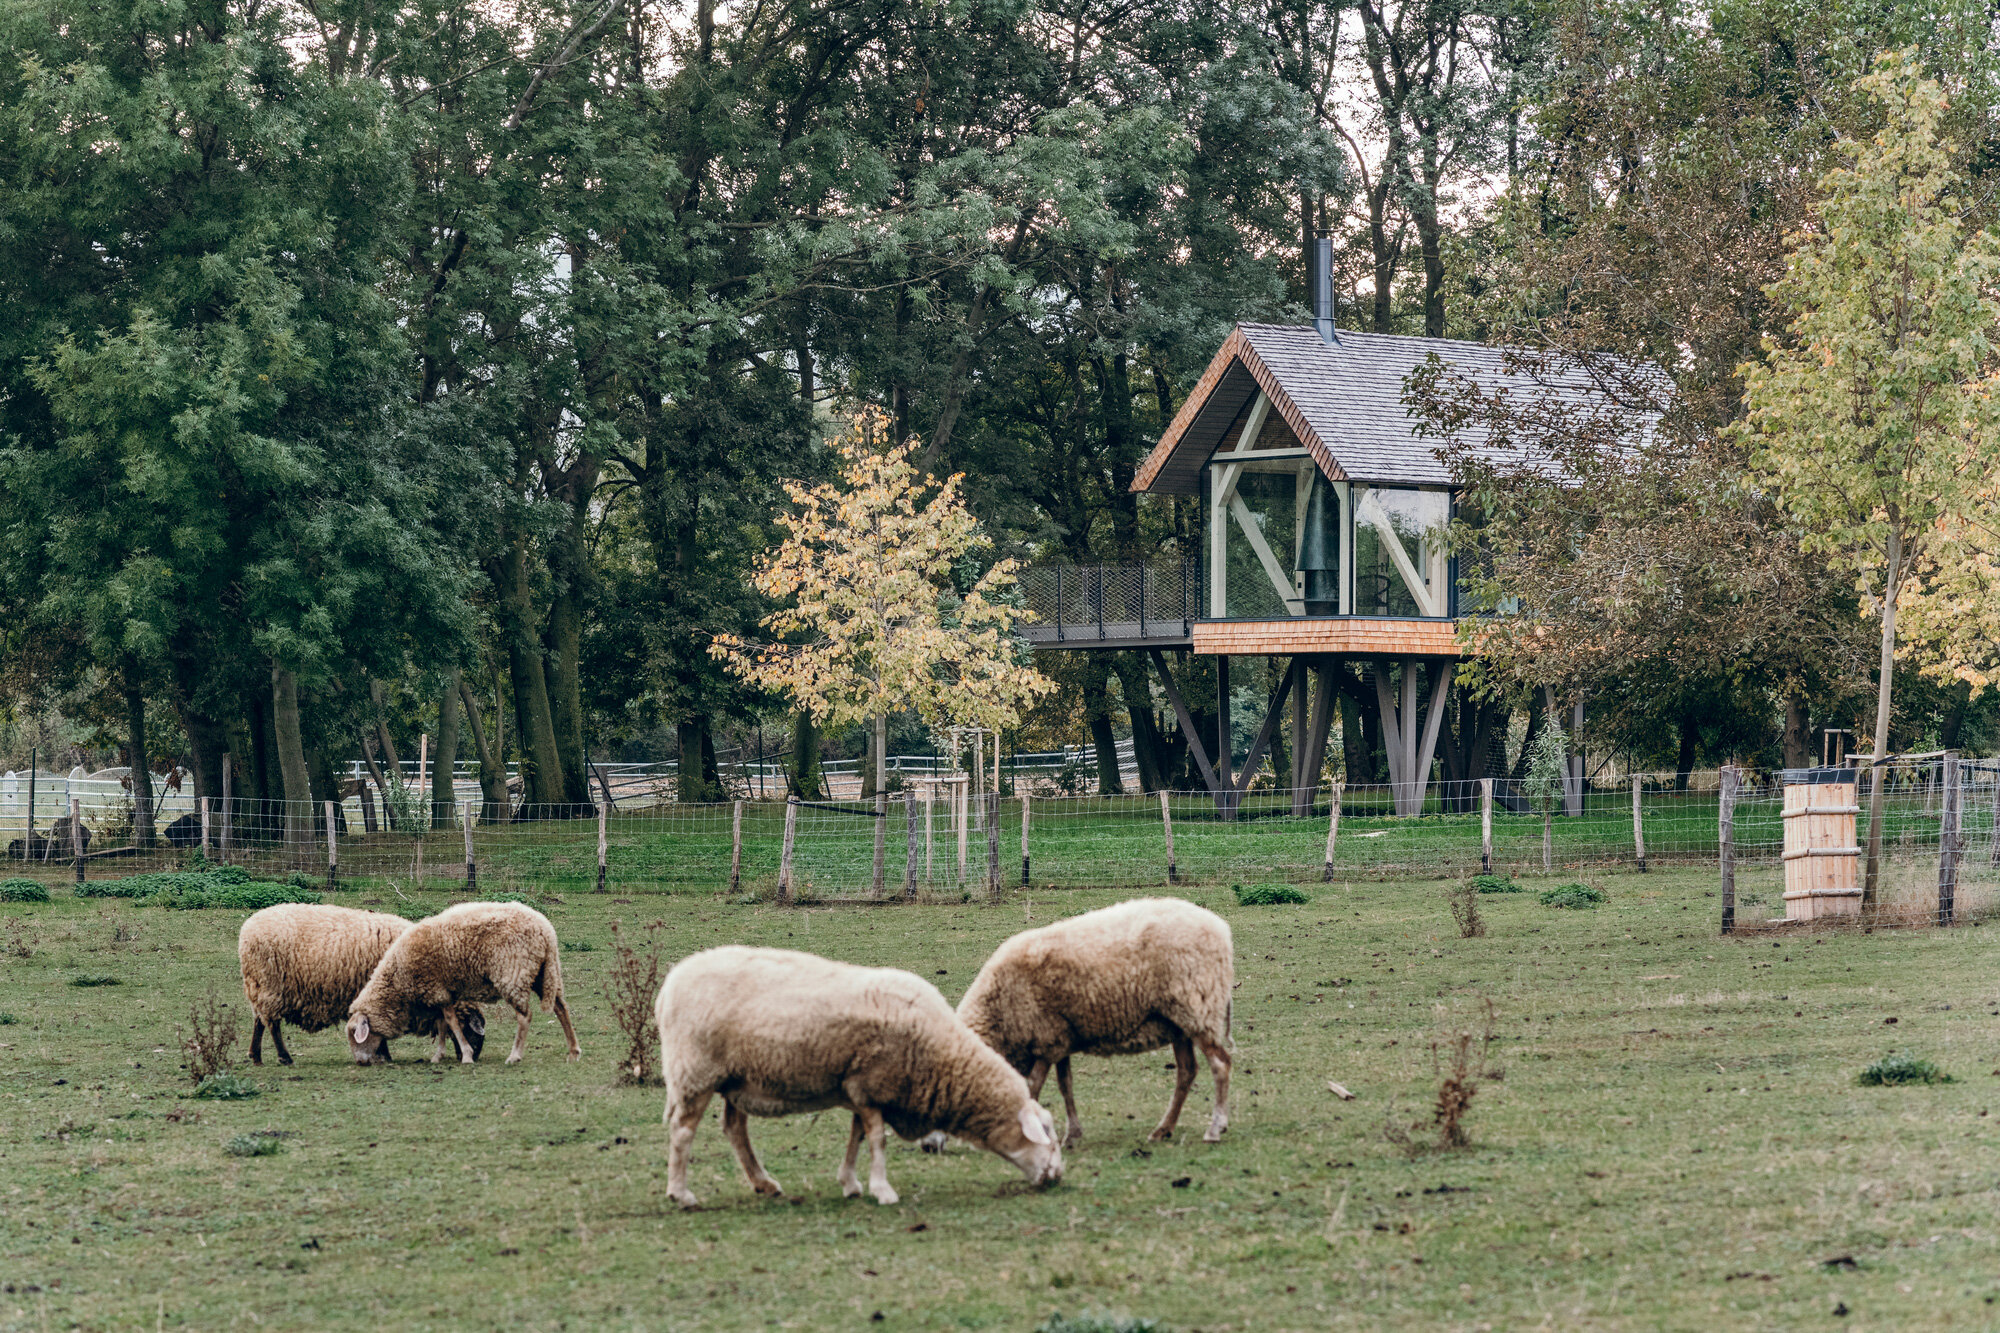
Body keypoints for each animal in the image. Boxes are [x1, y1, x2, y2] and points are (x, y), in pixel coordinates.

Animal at [239, 904, 488, 1056]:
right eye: (468, 1028)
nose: (475, 1055)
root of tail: (247, 929)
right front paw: (383, 1053)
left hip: (258, 987)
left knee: (259, 1021)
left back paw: (256, 1055)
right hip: (270, 987)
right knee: (272, 1024)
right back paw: (284, 1057)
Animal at [344, 896, 576, 1064]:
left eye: (355, 1032)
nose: (360, 1062)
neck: (396, 981)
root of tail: (547, 932)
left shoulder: (437, 991)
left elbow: (452, 1023)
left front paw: (466, 1056)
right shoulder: (440, 994)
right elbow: (442, 1024)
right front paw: (438, 1056)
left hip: (514, 974)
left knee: (525, 1016)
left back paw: (515, 1055)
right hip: (543, 973)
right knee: (561, 1007)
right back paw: (573, 1051)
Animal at [652, 940, 1064, 1208]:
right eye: (1046, 1133)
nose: (1057, 1176)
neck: (941, 1054)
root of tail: (669, 986)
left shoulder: (862, 1088)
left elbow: (858, 1137)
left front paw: (851, 1183)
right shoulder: (872, 1087)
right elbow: (877, 1140)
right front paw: (883, 1190)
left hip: (736, 1079)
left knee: (735, 1129)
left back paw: (763, 1183)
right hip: (695, 1072)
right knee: (683, 1131)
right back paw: (681, 1193)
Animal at [936, 896, 1232, 1144]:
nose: (930, 1147)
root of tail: (1220, 929)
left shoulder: (1046, 1040)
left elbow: (1032, 1088)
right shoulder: (1058, 1037)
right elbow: (1065, 1085)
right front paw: (1072, 1134)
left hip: (1197, 1007)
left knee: (1220, 1065)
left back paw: (1215, 1128)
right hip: (1179, 1021)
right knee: (1187, 1071)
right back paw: (1163, 1129)